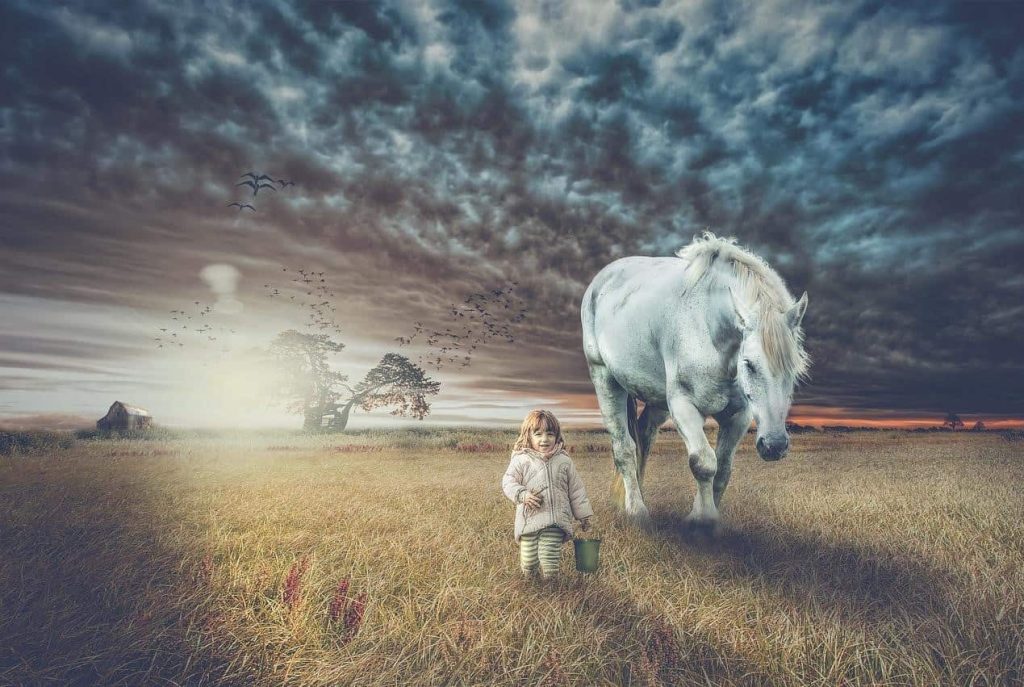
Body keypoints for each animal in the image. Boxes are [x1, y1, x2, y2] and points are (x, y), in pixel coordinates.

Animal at [585, 233, 806, 528]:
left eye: (794, 369)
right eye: (749, 364)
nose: (774, 446)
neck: (708, 327)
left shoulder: (738, 415)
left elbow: (722, 469)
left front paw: (706, 516)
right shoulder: (684, 406)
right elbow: (703, 463)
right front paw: (702, 519)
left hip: (657, 399)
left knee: (643, 436)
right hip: (606, 379)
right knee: (624, 448)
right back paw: (636, 510)